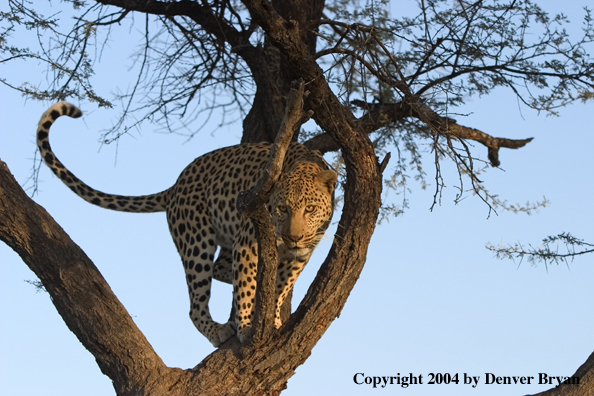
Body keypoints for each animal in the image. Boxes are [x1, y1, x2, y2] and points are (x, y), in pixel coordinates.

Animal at [34, 102, 336, 346]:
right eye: (282, 209)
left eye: (309, 209)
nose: (293, 237)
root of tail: (175, 186)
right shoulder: (248, 242)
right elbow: (246, 286)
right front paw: (247, 325)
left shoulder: (302, 253)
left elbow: (283, 285)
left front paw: (272, 315)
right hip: (197, 242)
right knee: (197, 301)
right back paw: (218, 329)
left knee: (221, 268)